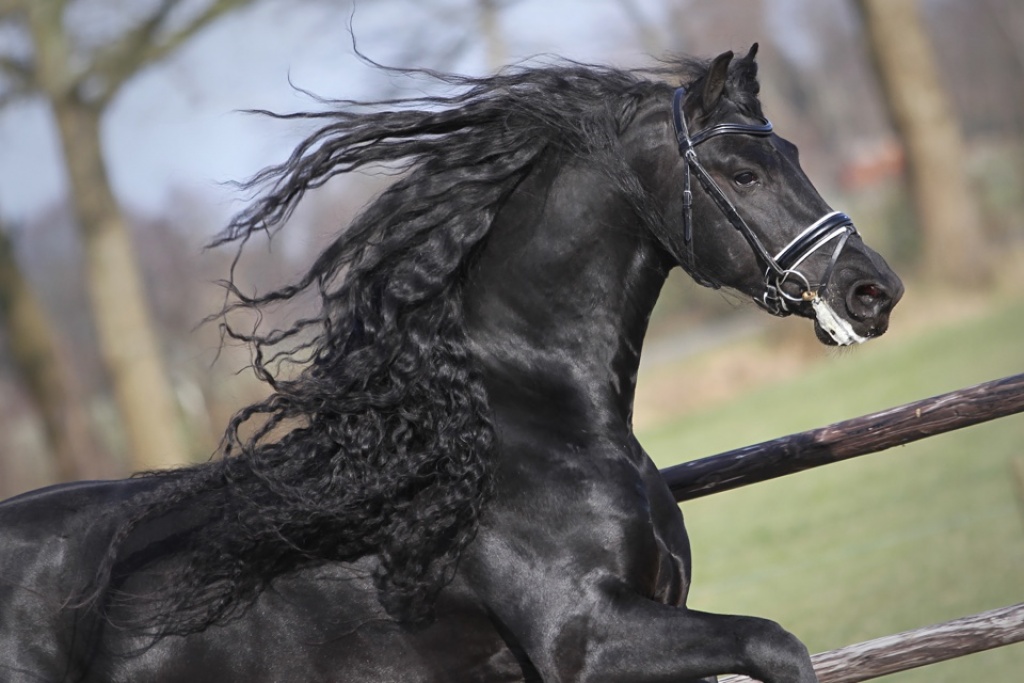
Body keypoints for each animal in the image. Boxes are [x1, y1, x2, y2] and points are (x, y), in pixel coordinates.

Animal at [0, 45, 901, 679]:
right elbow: (776, 643)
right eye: (742, 172)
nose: (873, 289)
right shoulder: (589, 639)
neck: (511, 428)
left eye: (792, 153)